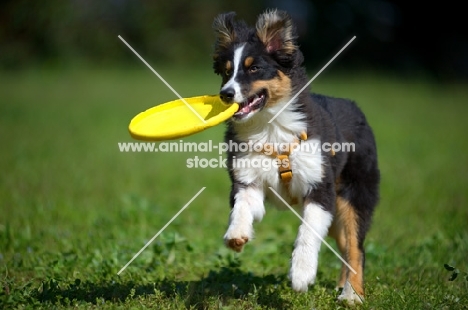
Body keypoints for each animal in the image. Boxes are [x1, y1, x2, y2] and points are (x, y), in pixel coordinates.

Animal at [212, 9, 380, 302]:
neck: (270, 127)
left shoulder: (320, 187)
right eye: (226, 72)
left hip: (354, 194)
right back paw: (342, 285)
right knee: (345, 245)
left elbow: (308, 232)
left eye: (254, 68)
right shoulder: (248, 178)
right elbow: (242, 205)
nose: (225, 94)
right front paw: (237, 233)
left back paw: (351, 295)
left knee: (356, 247)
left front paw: (301, 274)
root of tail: (357, 109)